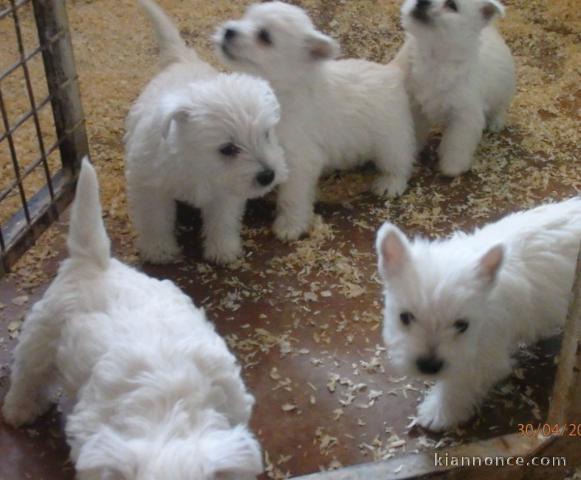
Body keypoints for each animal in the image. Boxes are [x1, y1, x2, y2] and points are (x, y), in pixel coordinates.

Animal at [124, 0, 286, 264]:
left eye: (266, 134)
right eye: (227, 149)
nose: (268, 176)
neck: (198, 166)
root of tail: (183, 60)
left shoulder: (226, 194)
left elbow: (222, 222)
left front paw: (223, 250)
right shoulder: (150, 188)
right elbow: (155, 221)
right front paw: (158, 250)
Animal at [215, 1, 414, 242]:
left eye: (264, 36)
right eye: (245, 17)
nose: (229, 31)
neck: (283, 88)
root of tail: (391, 71)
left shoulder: (298, 160)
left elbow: (292, 197)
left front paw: (289, 226)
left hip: (392, 140)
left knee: (399, 163)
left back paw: (389, 184)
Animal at [376, 198, 580, 432]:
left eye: (462, 324)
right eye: (405, 317)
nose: (429, 366)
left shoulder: (484, 357)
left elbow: (457, 384)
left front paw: (437, 413)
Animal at [392, 0, 516, 176]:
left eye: (452, 5)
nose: (422, 2)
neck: (435, 57)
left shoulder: (464, 118)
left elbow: (456, 146)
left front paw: (451, 169)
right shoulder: (415, 107)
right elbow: (415, 132)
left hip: (503, 90)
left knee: (499, 108)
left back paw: (496, 123)